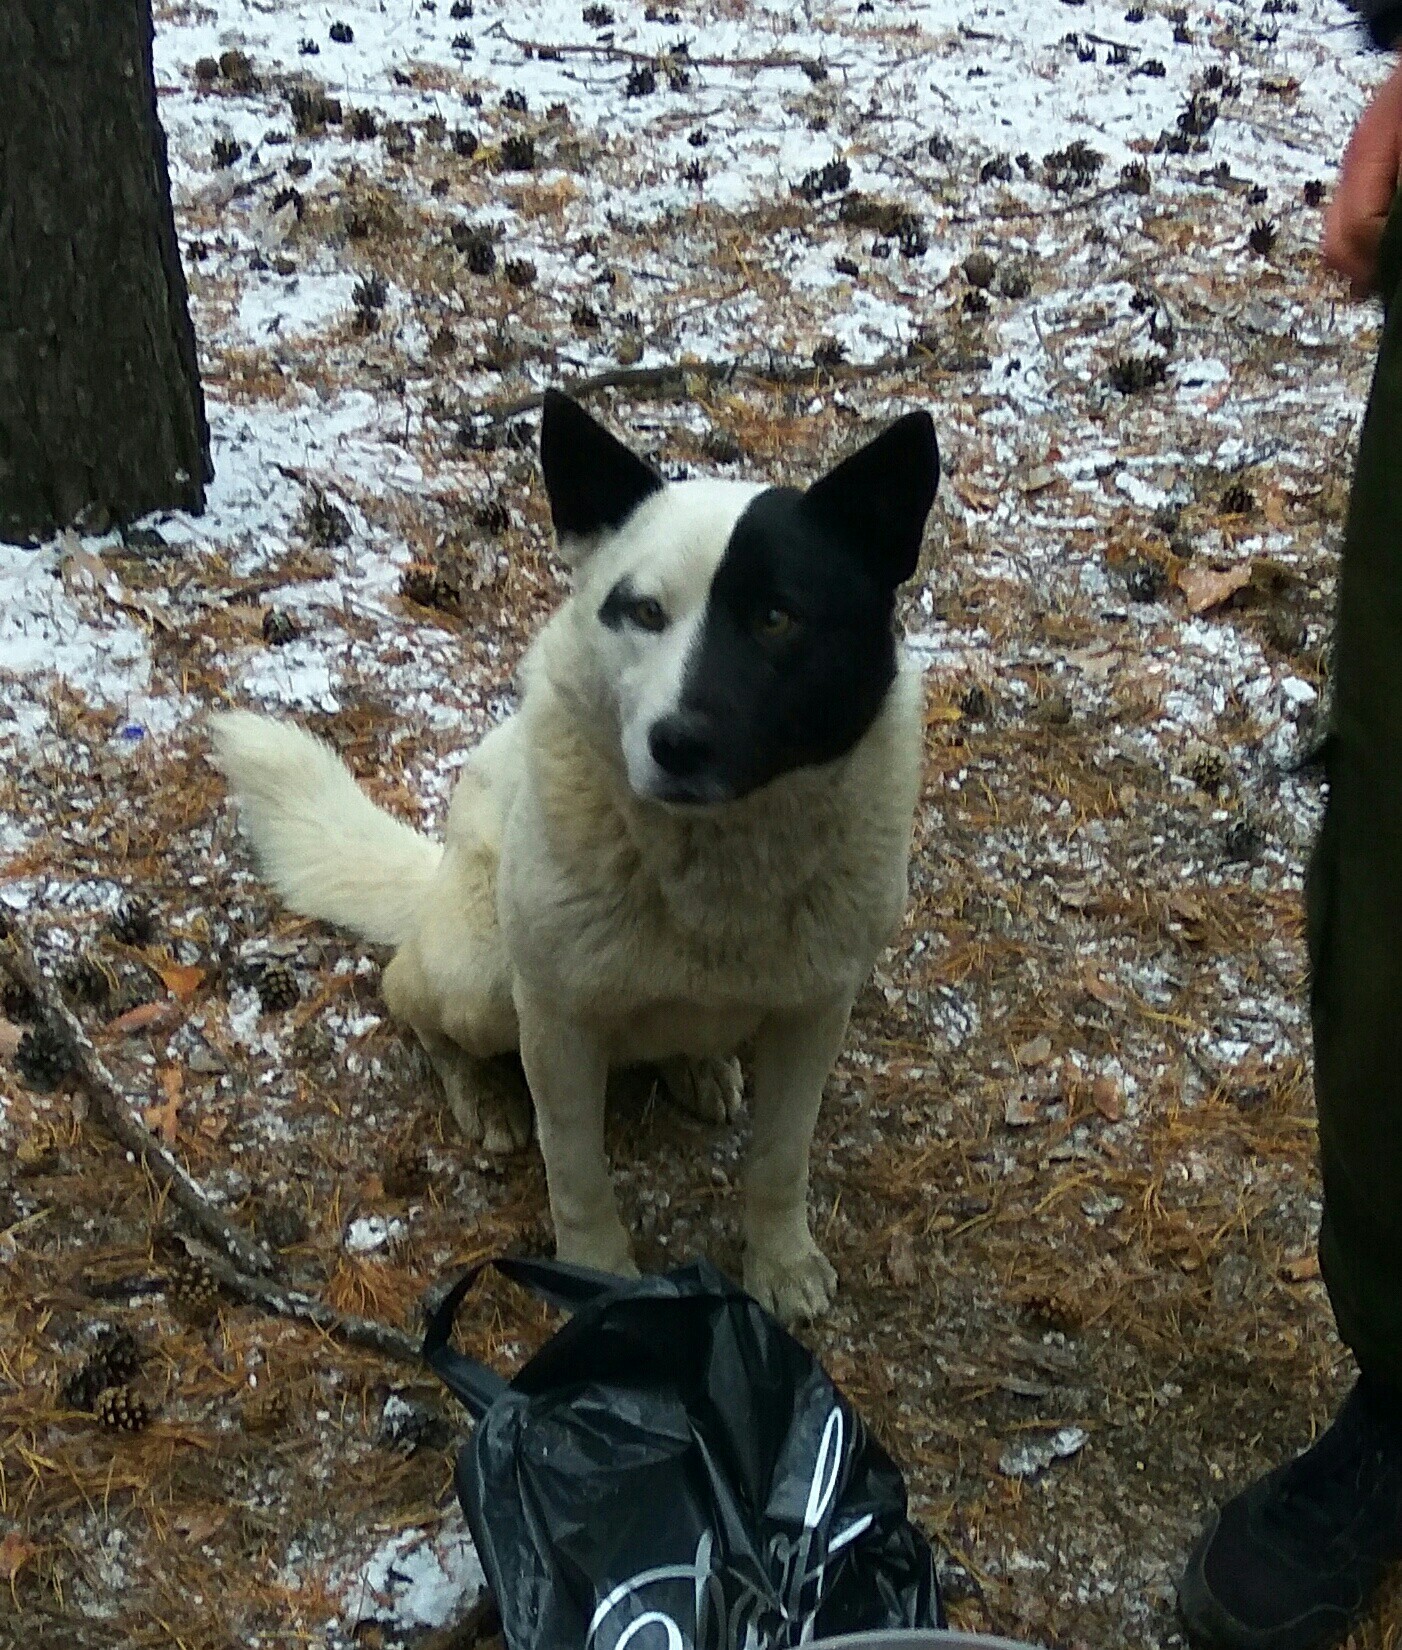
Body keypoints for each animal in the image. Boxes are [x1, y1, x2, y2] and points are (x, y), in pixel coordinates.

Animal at [212, 389, 936, 1326]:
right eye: (644, 612)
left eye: (778, 617)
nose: (676, 744)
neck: (715, 864)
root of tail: (435, 878)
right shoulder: (556, 1023)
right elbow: (576, 1168)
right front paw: (596, 1272)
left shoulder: (816, 1012)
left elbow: (781, 1158)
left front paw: (779, 1263)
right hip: (481, 978)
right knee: (407, 994)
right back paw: (481, 1091)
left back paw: (698, 1064)